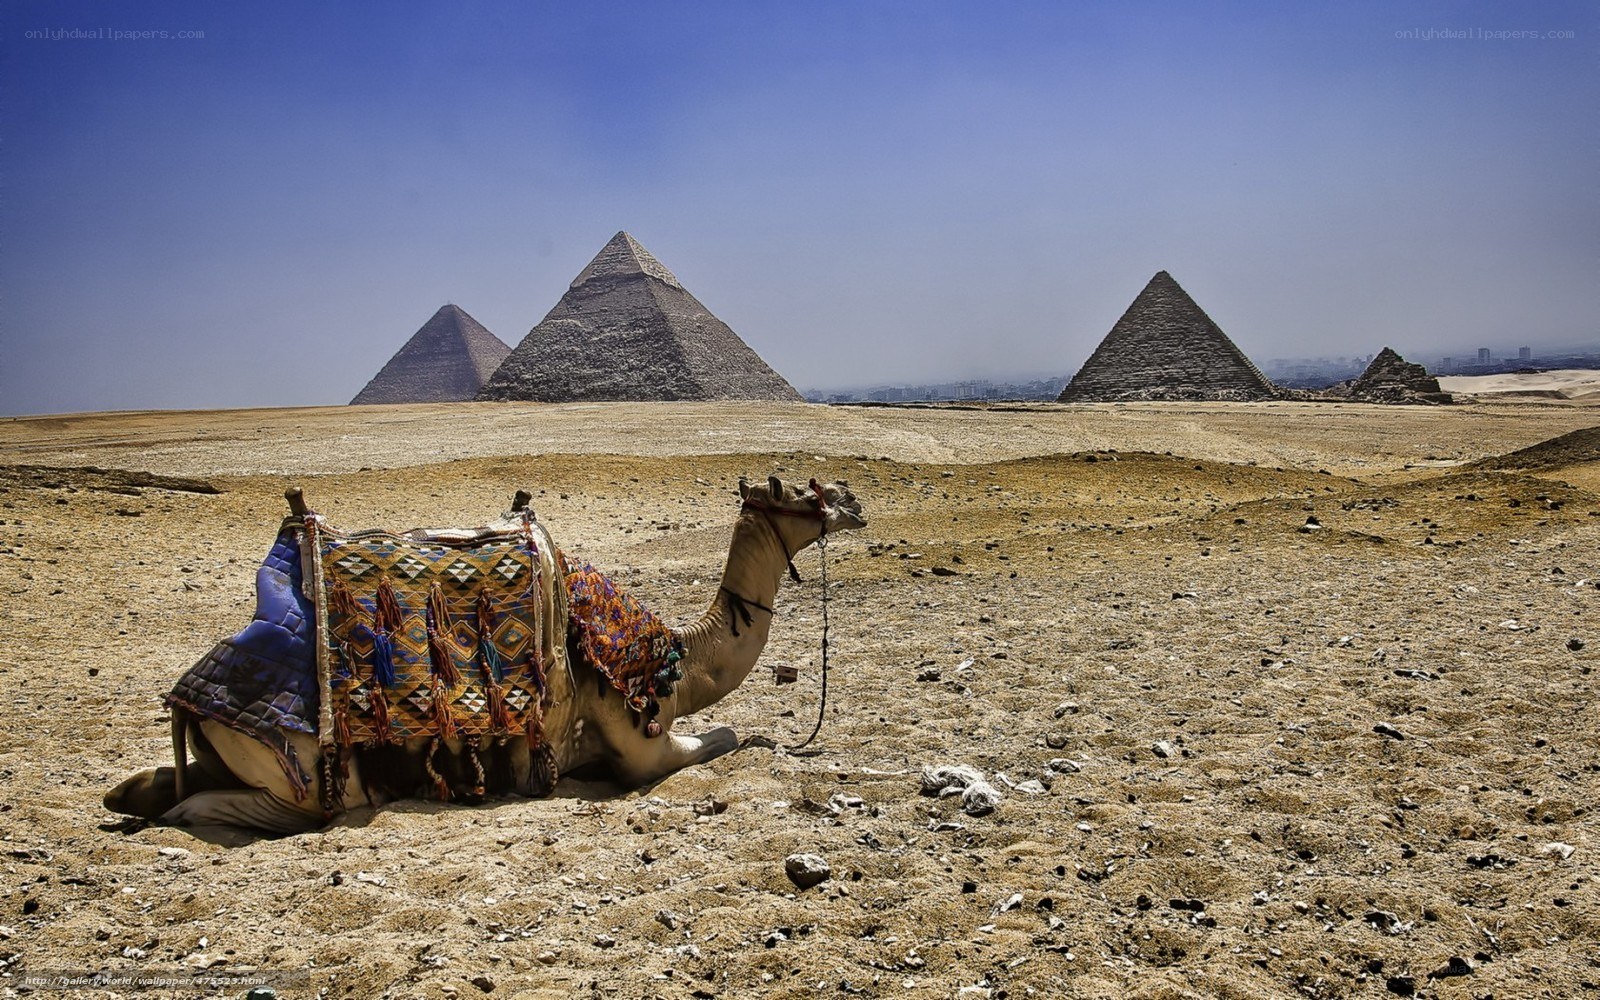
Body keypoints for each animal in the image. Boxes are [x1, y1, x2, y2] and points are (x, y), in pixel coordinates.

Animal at [104, 475, 865, 834]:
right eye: (808, 493)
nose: (854, 503)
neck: (675, 657)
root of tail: (190, 700)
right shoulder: (637, 741)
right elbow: (724, 735)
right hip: (310, 774)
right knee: (234, 808)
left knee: (157, 783)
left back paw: (130, 794)